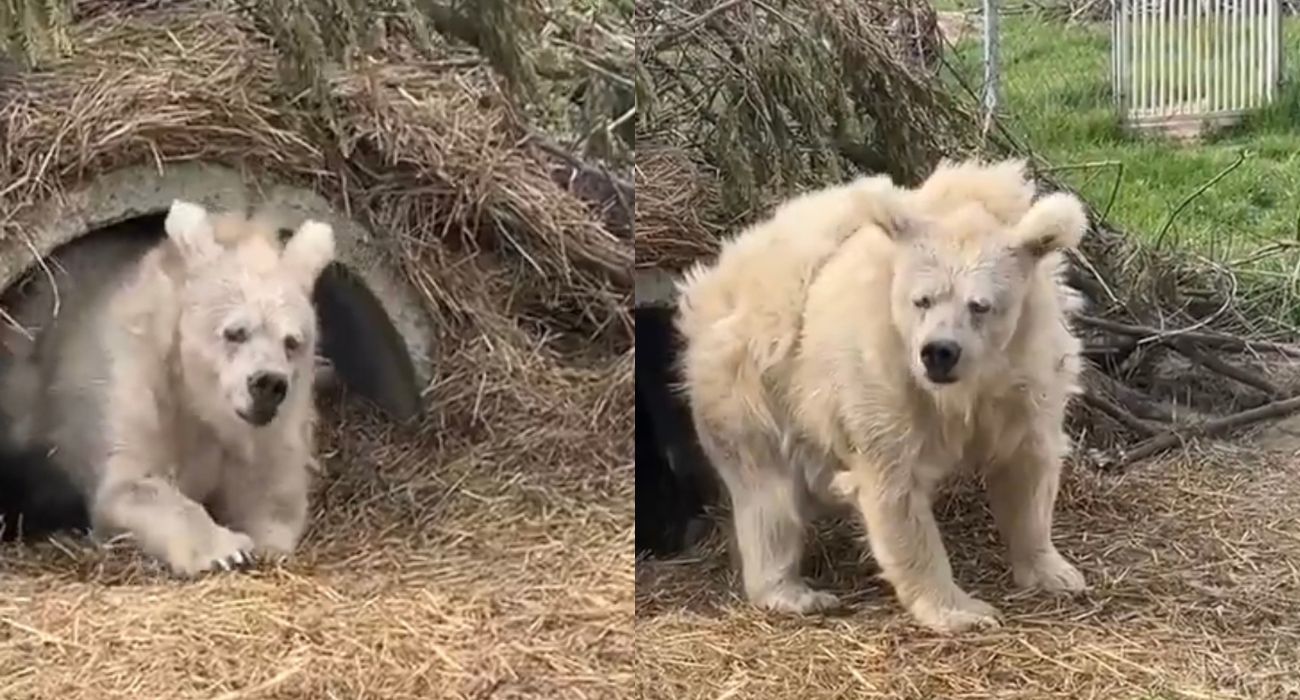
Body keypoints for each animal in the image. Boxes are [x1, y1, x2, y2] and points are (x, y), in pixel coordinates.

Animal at [1, 199, 335, 575]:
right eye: (235, 332)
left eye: (292, 342)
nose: (268, 383)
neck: (197, 399)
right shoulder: (136, 386)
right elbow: (131, 485)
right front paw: (228, 549)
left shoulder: (272, 422)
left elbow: (270, 487)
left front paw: (265, 544)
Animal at [670, 158, 1086, 632]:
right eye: (922, 300)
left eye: (980, 305)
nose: (939, 352)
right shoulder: (884, 380)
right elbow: (894, 490)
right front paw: (963, 611)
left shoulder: (1029, 375)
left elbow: (1028, 465)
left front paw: (1057, 572)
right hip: (752, 385)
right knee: (767, 496)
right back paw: (795, 593)